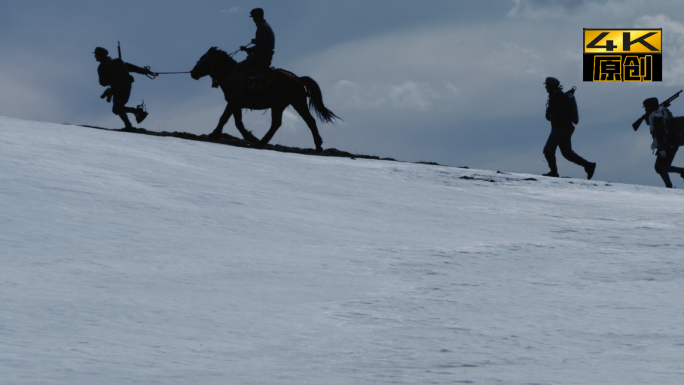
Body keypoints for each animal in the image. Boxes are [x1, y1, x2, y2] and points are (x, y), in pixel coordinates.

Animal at [190, 47, 340, 151]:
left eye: (204, 59)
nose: (193, 73)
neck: (230, 75)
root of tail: (297, 79)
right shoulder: (235, 104)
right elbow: (233, 121)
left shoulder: (233, 102)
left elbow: (228, 120)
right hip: (283, 105)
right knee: (286, 123)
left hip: (292, 103)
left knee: (303, 121)